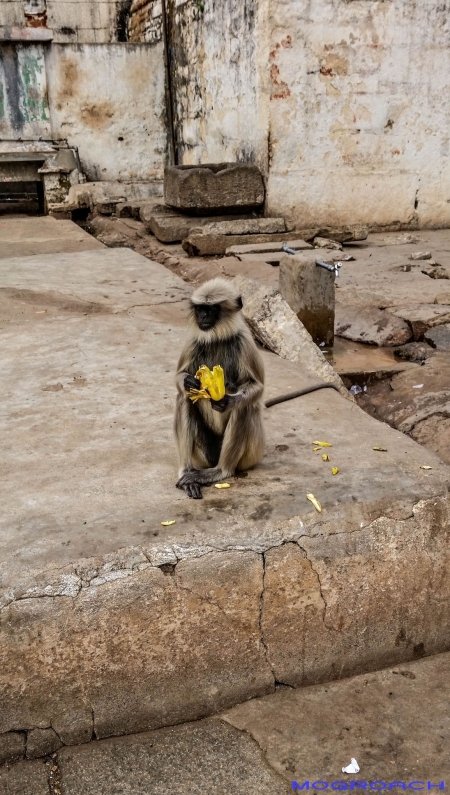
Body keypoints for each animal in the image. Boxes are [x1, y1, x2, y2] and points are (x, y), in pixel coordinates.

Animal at [172, 278, 264, 498]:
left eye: (212, 309)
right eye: (200, 309)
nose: (203, 317)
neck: (217, 338)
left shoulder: (244, 342)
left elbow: (257, 387)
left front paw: (227, 401)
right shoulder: (193, 341)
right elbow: (179, 377)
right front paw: (189, 382)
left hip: (251, 454)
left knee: (243, 407)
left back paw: (221, 471)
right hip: (202, 455)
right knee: (184, 398)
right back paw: (187, 473)